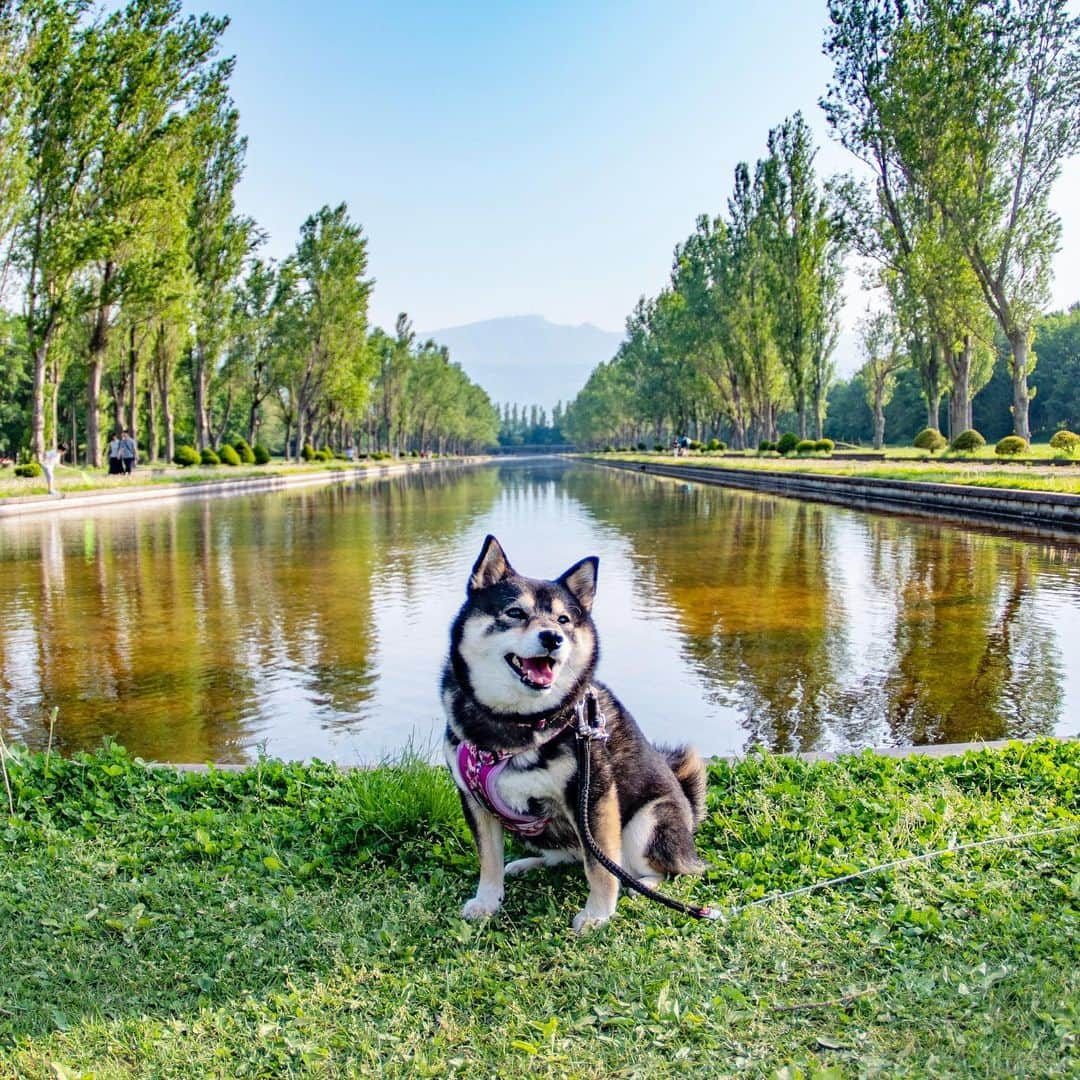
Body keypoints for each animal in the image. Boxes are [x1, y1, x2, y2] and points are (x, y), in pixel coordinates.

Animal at [440, 535, 708, 933]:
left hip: (647, 822)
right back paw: (528, 864)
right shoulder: (473, 799)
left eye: (563, 620)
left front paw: (597, 913)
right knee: (566, 855)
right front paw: (488, 900)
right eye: (515, 613)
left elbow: (600, 867)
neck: (515, 724)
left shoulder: (593, 796)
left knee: (659, 870)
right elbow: (488, 859)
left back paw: (640, 885)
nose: (552, 637)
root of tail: (689, 816)